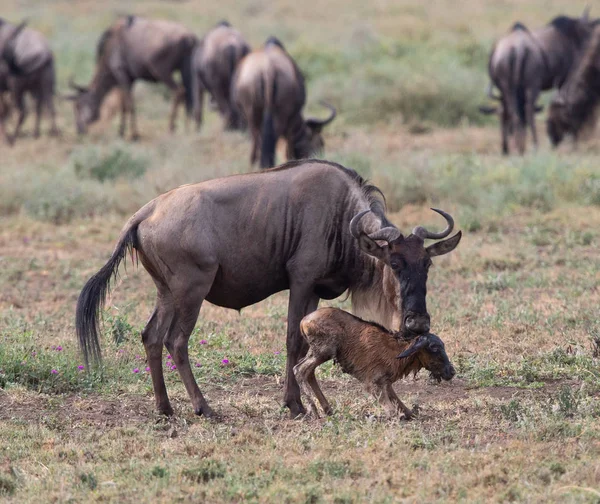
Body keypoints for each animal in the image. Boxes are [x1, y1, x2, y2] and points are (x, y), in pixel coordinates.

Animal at [296, 310, 454, 420]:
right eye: (434, 348)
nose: (451, 371)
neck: (396, 353)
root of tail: (303, 321)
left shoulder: (385, 383)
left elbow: (404, 408)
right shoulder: (373, 383)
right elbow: (392, 412)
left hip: (318, 353)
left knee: (309, 372)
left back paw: (327, 409)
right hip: (323, 351)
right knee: (299, 370)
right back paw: (314, 411)